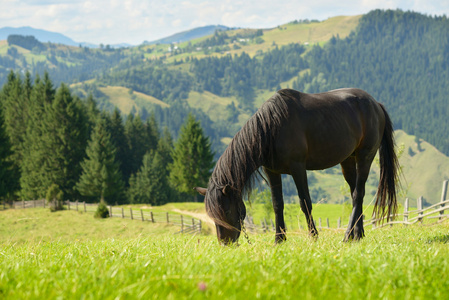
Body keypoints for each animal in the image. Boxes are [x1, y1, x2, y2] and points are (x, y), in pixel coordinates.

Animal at [194, 88, 398, 245]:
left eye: (227, 211)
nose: (225, 243)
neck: (272, 128)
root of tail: (375, 104)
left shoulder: (298, 168)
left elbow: (305, 202)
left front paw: (313, 236)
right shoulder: (272, 172)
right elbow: (277, 204)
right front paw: (279, 239)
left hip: (365, 156)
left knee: (358, 194)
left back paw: (348, 236)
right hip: (347, 160)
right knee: (356, 193)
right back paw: (358, 235)